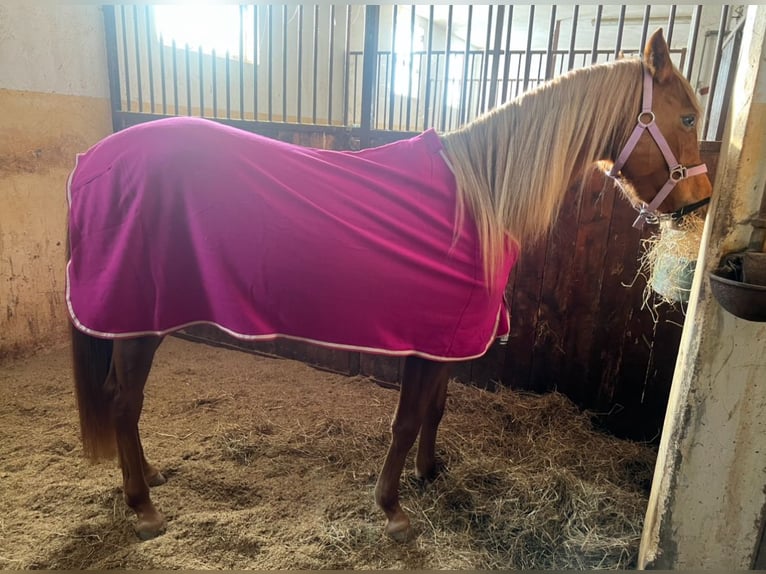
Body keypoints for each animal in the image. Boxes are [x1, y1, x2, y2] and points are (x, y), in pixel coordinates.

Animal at [66, 29, 712, 542]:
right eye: (686, 117)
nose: (700, 201)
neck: (482, 195)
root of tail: (93, 160)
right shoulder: (426, 343)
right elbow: (404, 421)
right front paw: (393, 512)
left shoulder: (450, 339)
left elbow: (435, 411)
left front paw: (430, 473)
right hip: (138, 316)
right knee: (124, 402)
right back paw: (144, 509)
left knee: (120, 398)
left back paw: (145, 477)